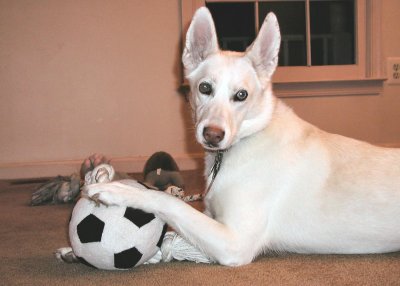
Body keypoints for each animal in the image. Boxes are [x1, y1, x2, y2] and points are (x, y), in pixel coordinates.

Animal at [78, 7, 400, 266]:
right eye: (205, 88)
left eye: (241, 95)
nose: (213, 135)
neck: (246, 140)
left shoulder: (235, 242)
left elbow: (169, 201)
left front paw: (119, 189)